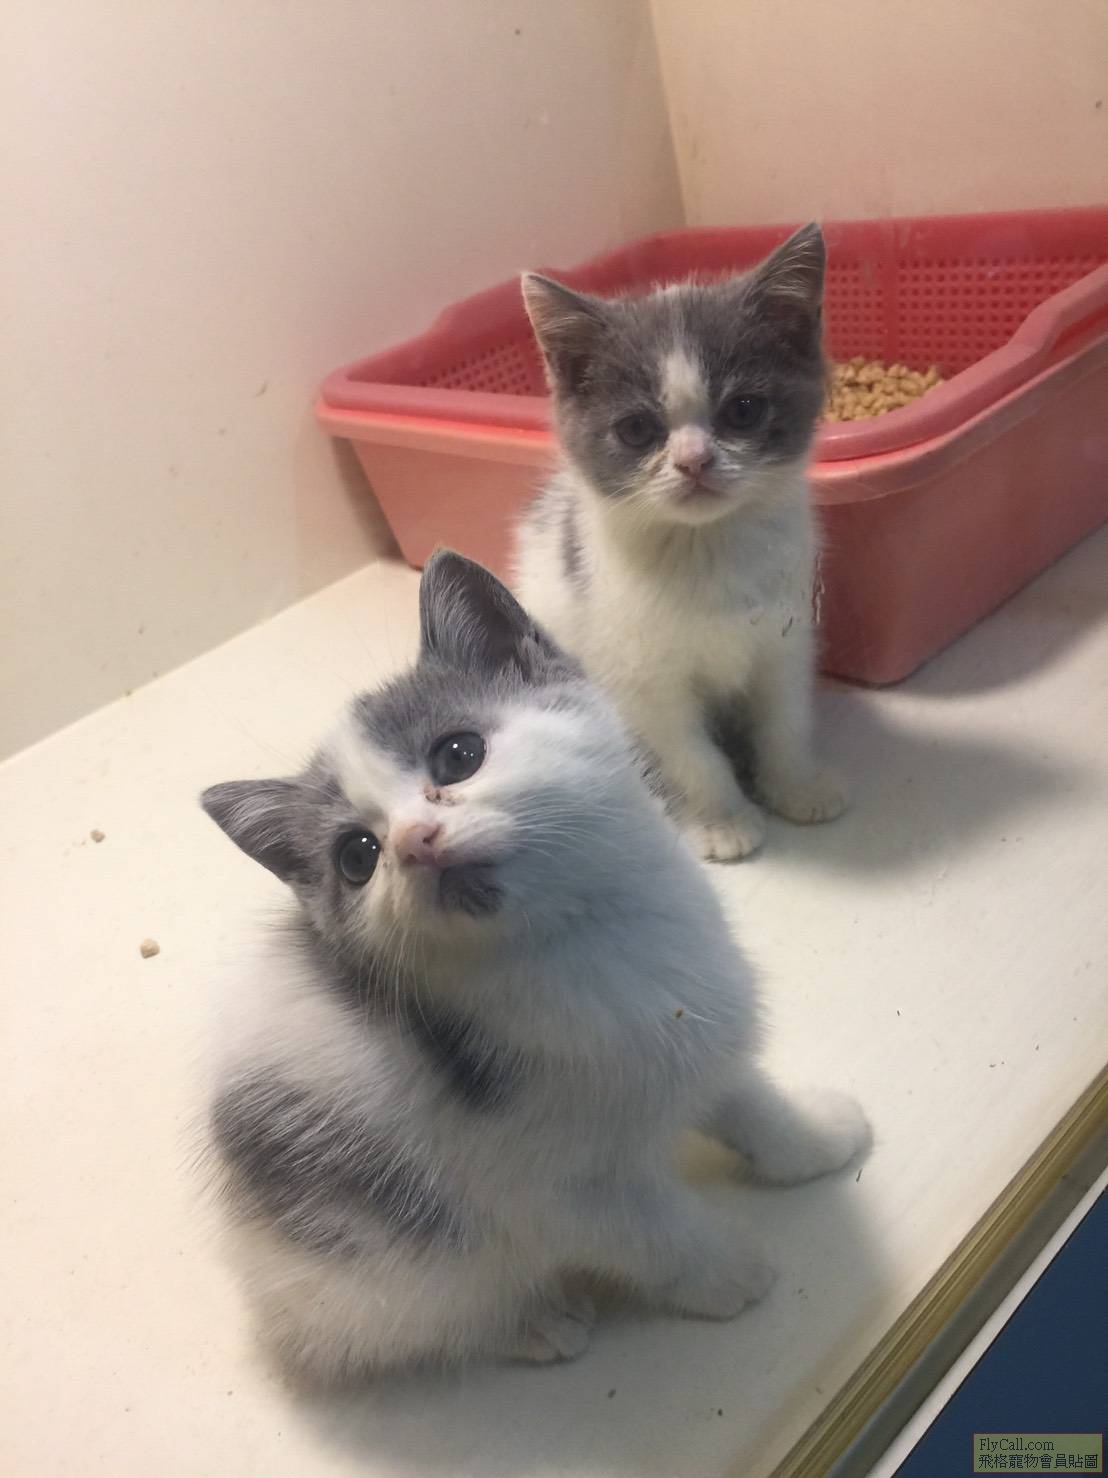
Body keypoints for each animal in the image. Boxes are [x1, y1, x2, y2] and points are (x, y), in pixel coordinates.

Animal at [201, 551, 869, 1382]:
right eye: (357, 857)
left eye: (459, 754)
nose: (415, 840)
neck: (583, 942)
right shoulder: (556, 1192)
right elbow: (655, 1235)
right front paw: (727, 1274)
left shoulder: (701, 1030)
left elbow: (750, 1103)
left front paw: (815, 1140)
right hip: (381, 1260)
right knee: (434, 1314)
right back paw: (535, 1321)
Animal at [516, 223, 844, 862]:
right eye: (637, 429)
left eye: (744, 410)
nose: (694, 461)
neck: (705, 547)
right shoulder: (638, 678)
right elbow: (689, 754)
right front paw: (721, 819)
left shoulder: (786, 638)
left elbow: (784, 718)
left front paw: (796, 786)